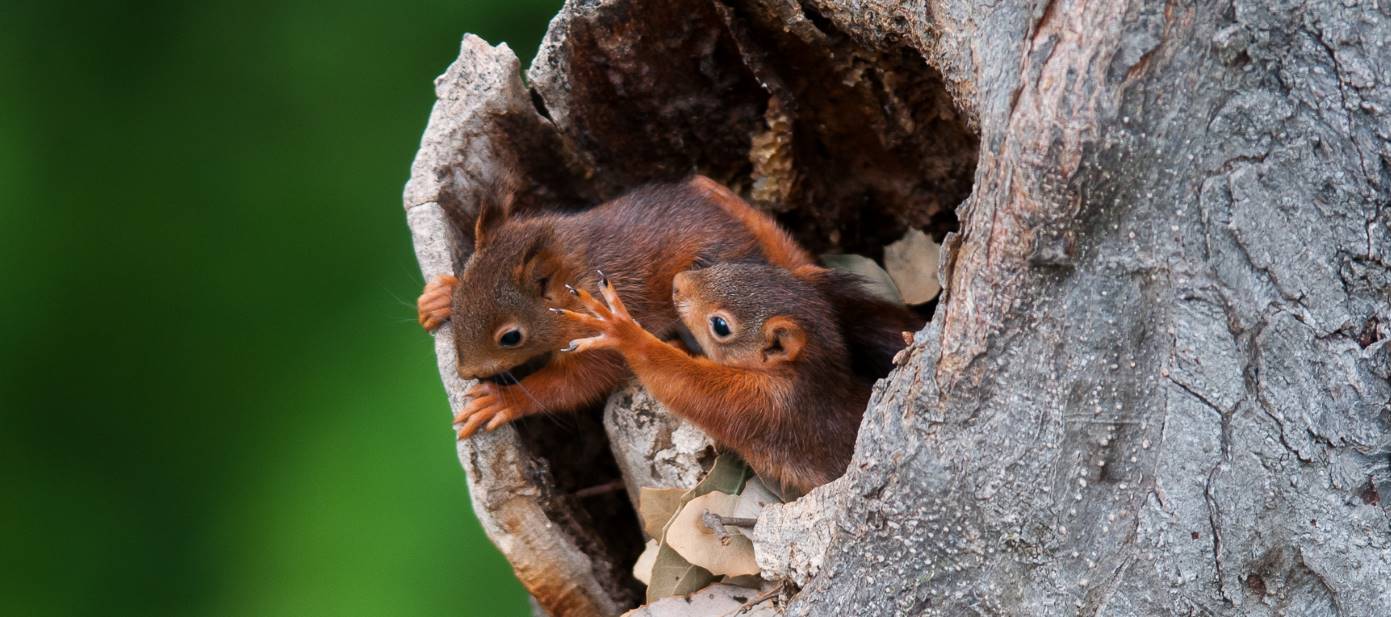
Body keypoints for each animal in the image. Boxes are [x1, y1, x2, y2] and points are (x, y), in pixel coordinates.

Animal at [414, 175, 823, 436]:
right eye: (464, 295)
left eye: (511, 337)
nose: (466, 372)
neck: (575, 276)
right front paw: (440, 296)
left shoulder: (600, 334)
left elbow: (572, 385)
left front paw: (502, 400)